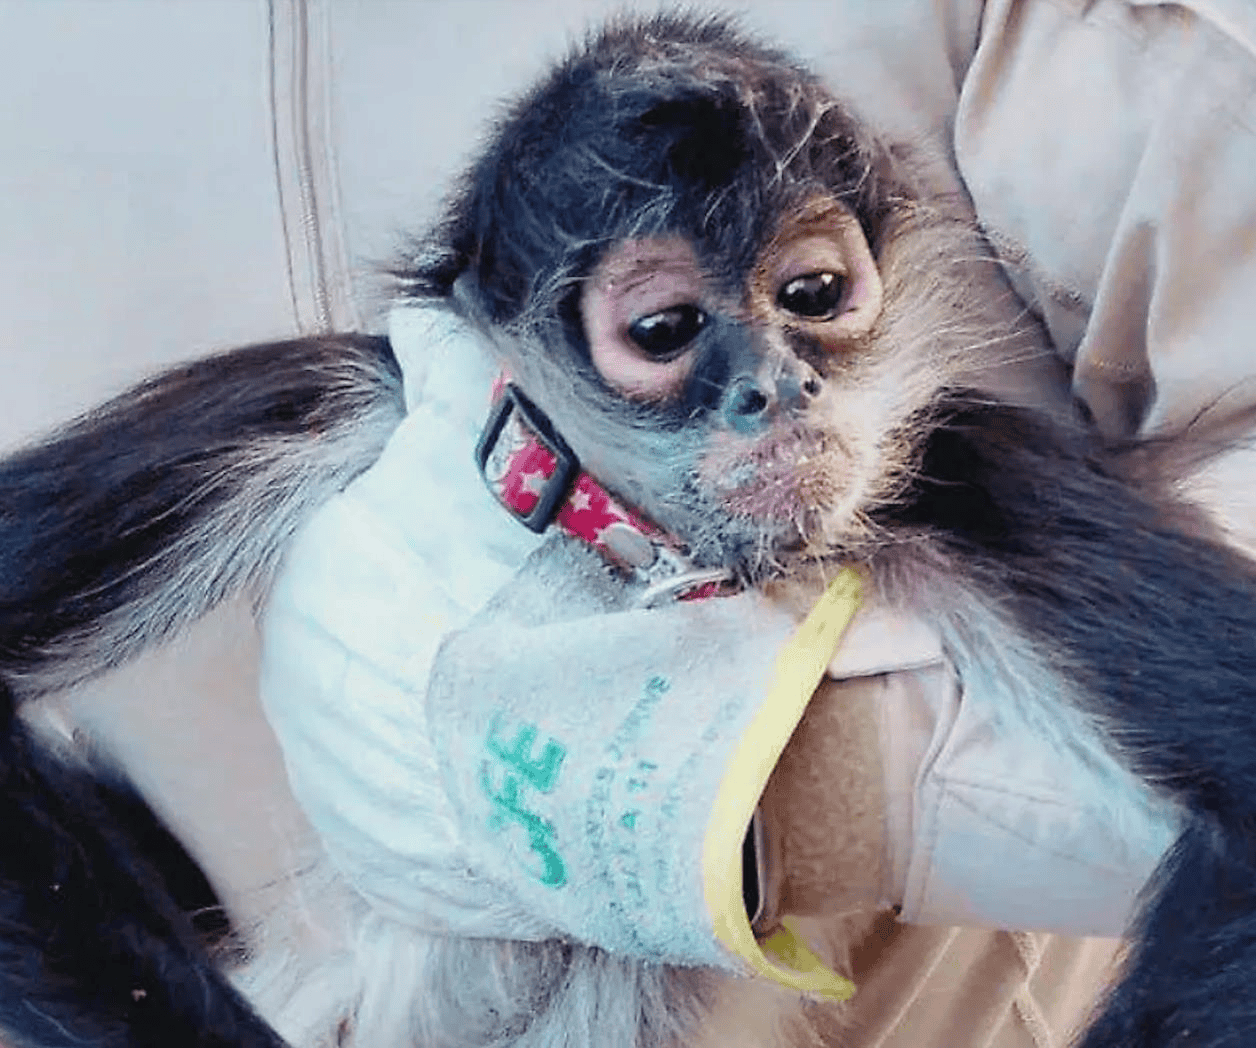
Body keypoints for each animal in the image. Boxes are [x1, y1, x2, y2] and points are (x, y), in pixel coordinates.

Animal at [2, 11, 1256, 1048]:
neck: (639, 542)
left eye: (809, 295)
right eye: (662, 329)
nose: (775, 388)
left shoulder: (948, 466)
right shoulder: (344, 393)